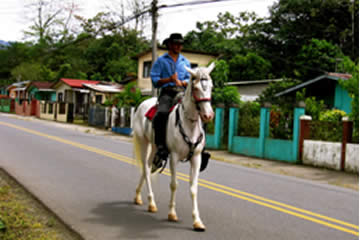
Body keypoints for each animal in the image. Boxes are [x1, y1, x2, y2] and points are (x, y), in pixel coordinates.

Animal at [134, 62, 215, 231]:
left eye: (211, 86)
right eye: (196, 88)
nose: (208, 115)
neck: (189, 124)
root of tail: (142, 104)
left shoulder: (196, 159)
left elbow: (193, 189)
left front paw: (197, 221)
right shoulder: (174, 157)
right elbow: (174, 185)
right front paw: (172, 213)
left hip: (155, 146)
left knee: (148, 168)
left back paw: (138, 196)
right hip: (143, 142)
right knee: (145, 168)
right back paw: (151, 202)